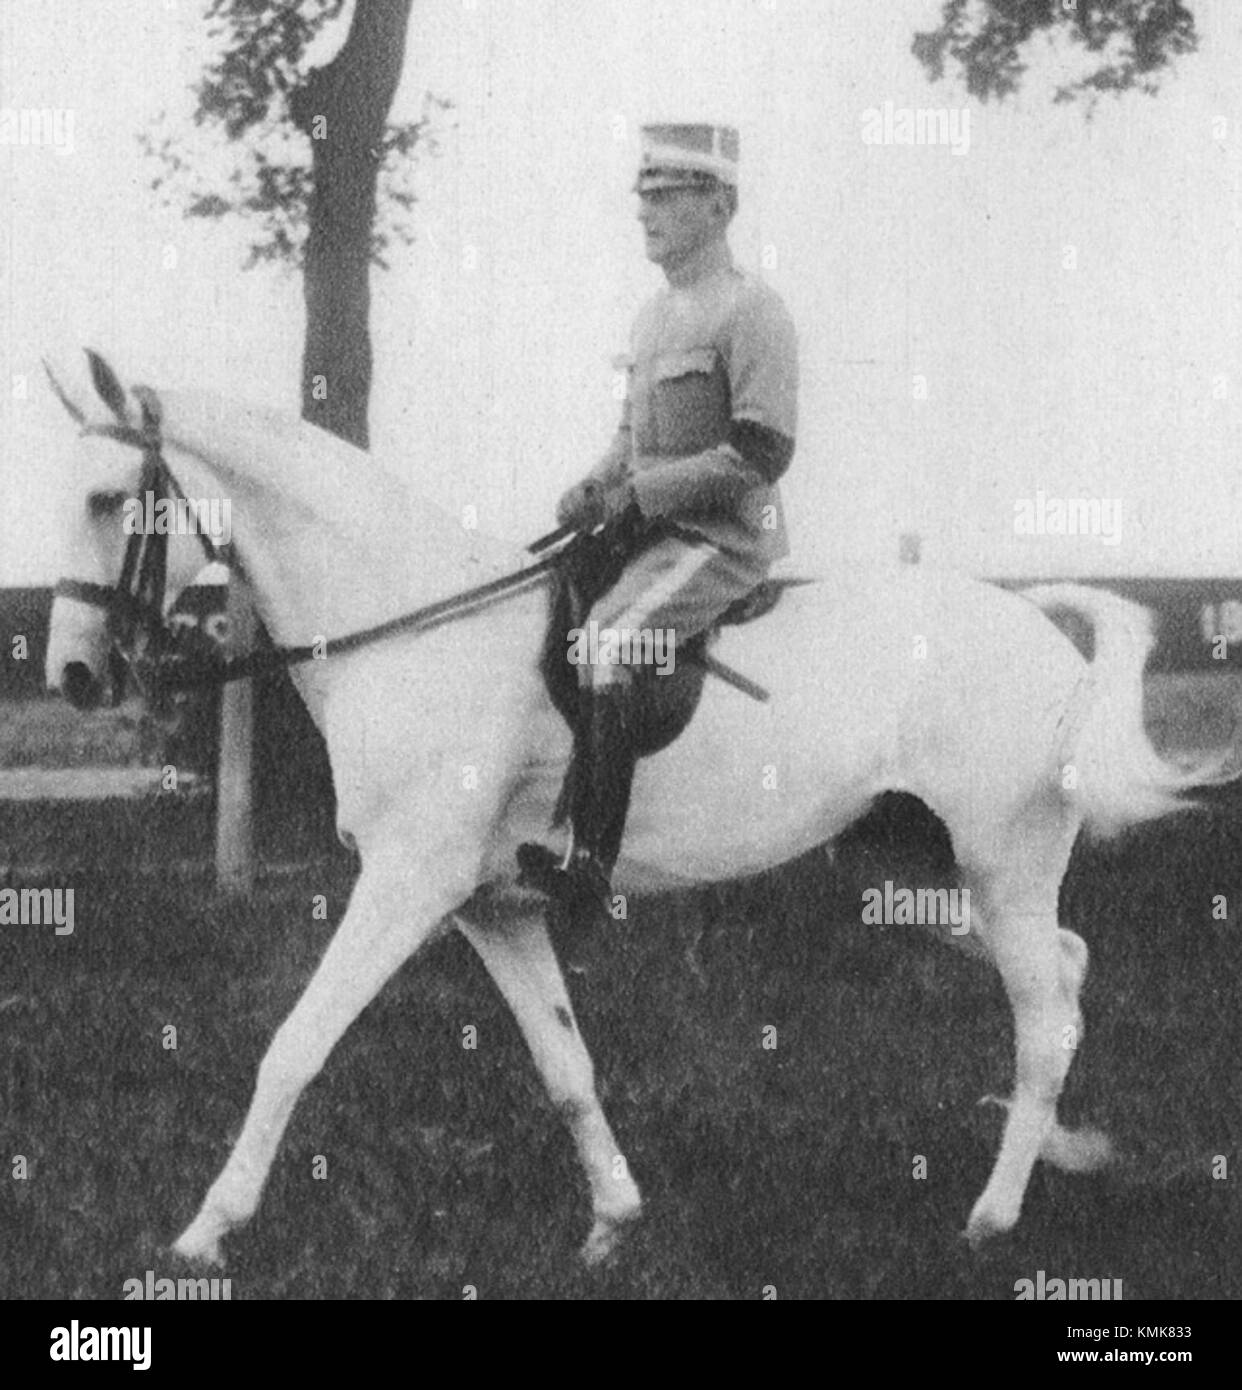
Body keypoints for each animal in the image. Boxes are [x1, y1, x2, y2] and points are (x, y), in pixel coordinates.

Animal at [43, 355, 1228, 1262]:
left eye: (106, 498)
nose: (73, 676)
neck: (415, 627)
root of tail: (1052, 651)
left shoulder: (408, 884)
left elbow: (293, 1045)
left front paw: (204, 1233)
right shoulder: (492, 907)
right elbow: (565, 1067)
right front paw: (614, 1222)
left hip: (1002, 869)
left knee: (1045, 1015)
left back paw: (992, 1216)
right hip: (921, 878)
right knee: (1066, 973)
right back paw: (1069, 1150)